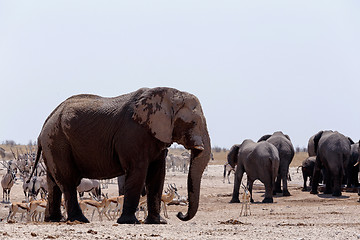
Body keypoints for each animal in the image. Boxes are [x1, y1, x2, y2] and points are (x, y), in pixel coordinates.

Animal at [31, 87, 212, 224]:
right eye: (193, 122)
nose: (180, 215)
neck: (170, 95)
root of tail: (44, 125)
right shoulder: (133, 135)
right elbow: (138, 172)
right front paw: (130, 222)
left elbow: (158, 174)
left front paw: (158, 222)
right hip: (58, 141)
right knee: (67, 181)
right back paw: (80, 220)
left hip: (52, 144)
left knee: (54, 182)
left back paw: (54, 220)